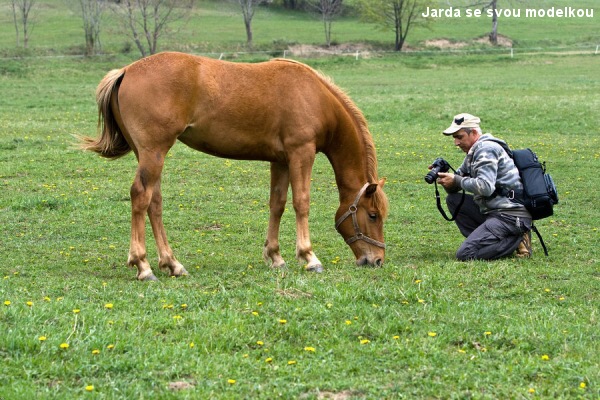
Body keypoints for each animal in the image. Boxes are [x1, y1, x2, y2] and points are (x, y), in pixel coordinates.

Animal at [81, 51, 390, 280]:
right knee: (140, 196)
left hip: (147, 154)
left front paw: (275, 257)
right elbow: (301, 202)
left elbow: (277, 204)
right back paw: (143, 266)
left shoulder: (281, 160)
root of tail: (126, 71)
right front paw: (309, 257)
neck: (314, 96)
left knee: (153, 202)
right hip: (154, 152)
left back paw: (172, 264)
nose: (377, 260)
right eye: (373, 215)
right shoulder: (301, 153)